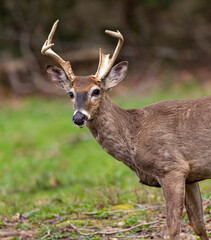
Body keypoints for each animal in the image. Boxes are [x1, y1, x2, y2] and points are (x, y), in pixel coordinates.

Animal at [41, 19, 211, 239]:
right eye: (70, 93)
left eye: (96, 91)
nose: (79, 117)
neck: (133, 135)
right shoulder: (191, 176)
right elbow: (199, 225)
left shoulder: (172, 167)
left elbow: (173, 228)